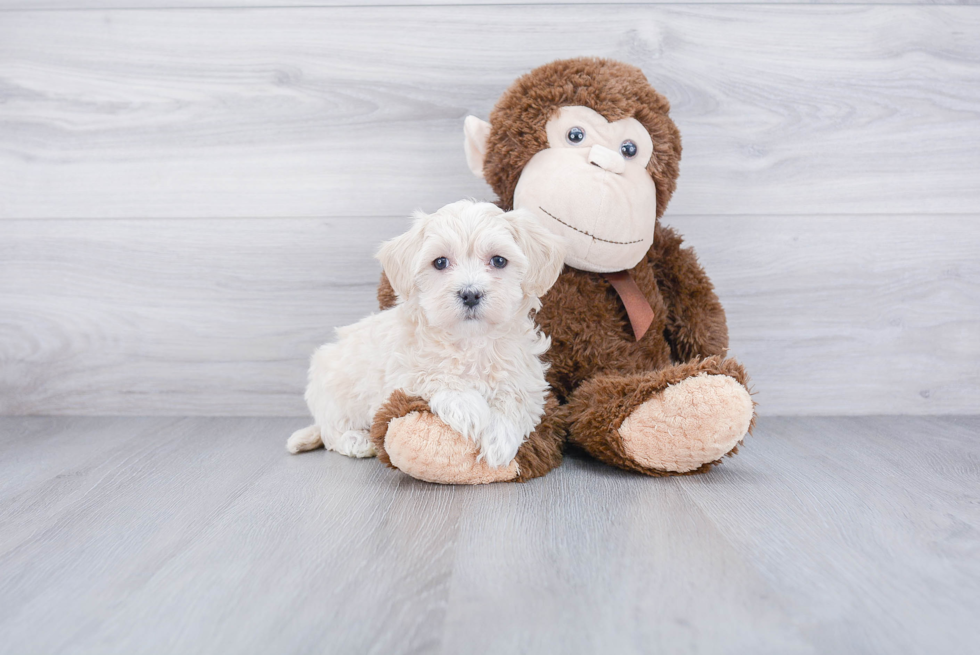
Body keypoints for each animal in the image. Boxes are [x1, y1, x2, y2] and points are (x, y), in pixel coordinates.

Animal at [284, 199, 564, 466]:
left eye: (498, 260)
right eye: (440, 262)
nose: (470, 294)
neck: (469, 341)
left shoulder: (526, 376)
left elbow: (515, 398)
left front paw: (499, 440)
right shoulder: (401, 372)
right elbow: (432, 374)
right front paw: (470, 409)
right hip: (334, 390)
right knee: (332, 432)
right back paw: (356, 440)